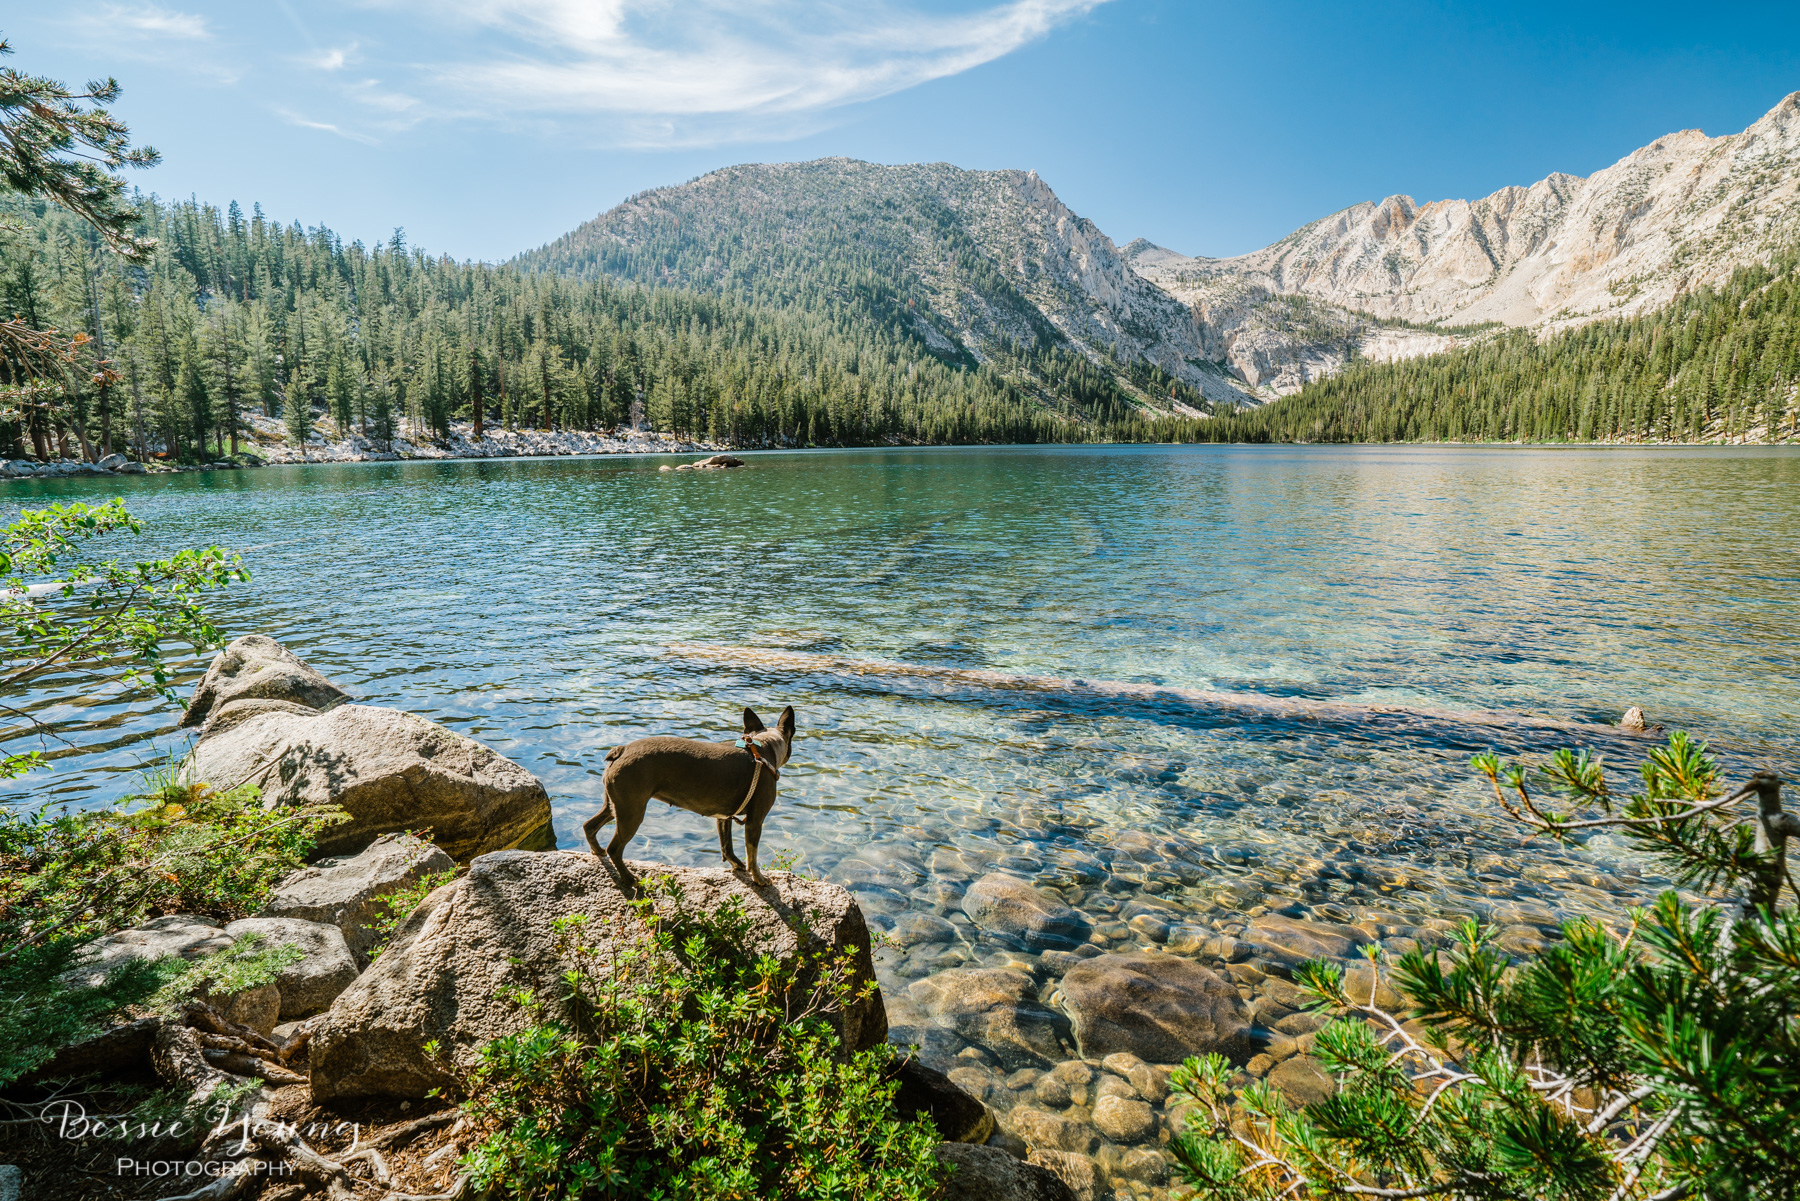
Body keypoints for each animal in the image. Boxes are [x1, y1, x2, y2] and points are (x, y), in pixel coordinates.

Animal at [583, 705, 795, 893]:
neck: (763, 746)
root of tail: (622, 750)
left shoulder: (723, 817)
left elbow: (726, 845)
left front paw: (737, 865)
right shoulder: (755, 821)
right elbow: (752, 854)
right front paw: (759, 878)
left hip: (616, 805)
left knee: (590, 826)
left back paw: (598, 851)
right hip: (632, 812)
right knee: (615, 848)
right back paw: (629, 879)